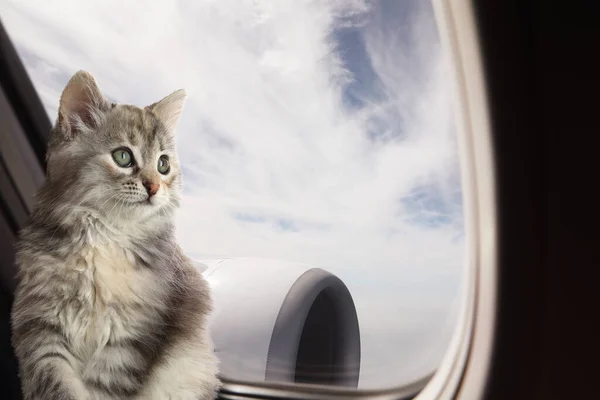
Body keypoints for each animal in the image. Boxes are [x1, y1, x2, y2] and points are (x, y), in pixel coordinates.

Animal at [10, 70, 220, 398]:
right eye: (123, 157)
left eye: (163, 164)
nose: (154, 187)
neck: (103, 237)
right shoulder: (42, 328)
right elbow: (58, 386)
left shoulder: (128, 340)